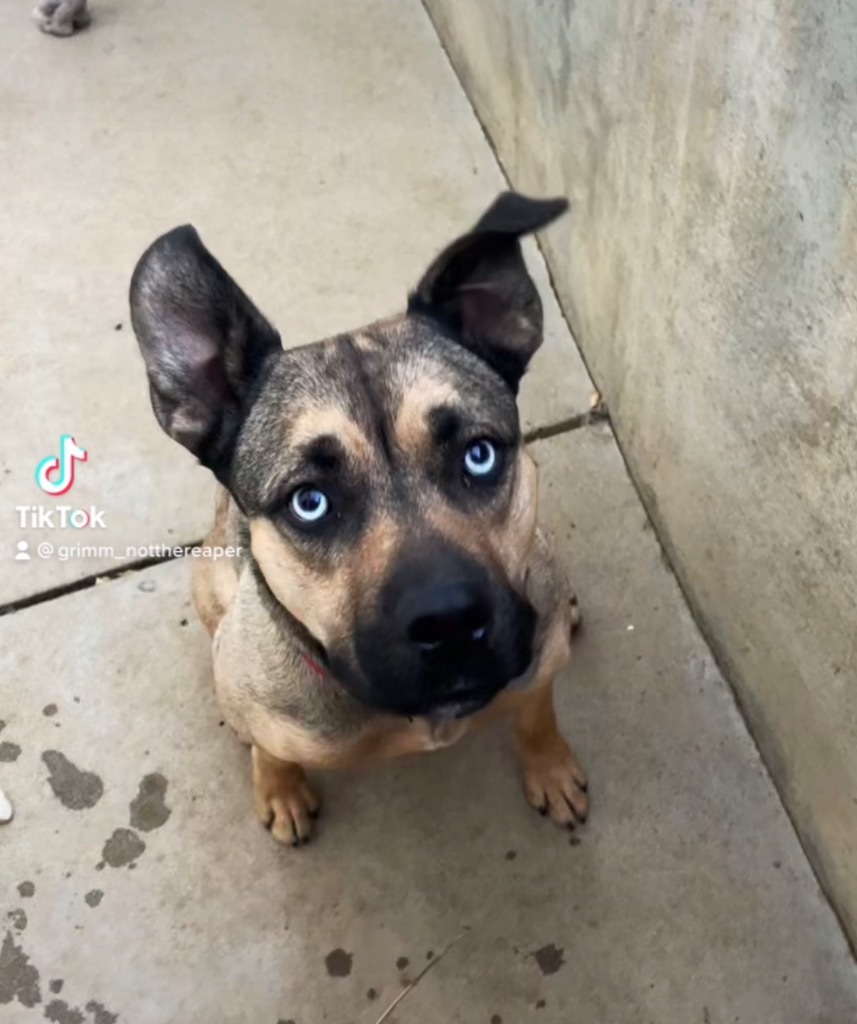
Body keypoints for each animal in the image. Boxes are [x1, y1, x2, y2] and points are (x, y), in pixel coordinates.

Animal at [130, 192, 589, 847]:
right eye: (309, 501)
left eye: (479, 455)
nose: (449, 621)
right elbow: (270, 751)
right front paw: (281, 790)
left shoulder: (538, 663)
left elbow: (537, 712)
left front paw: (550, 766)